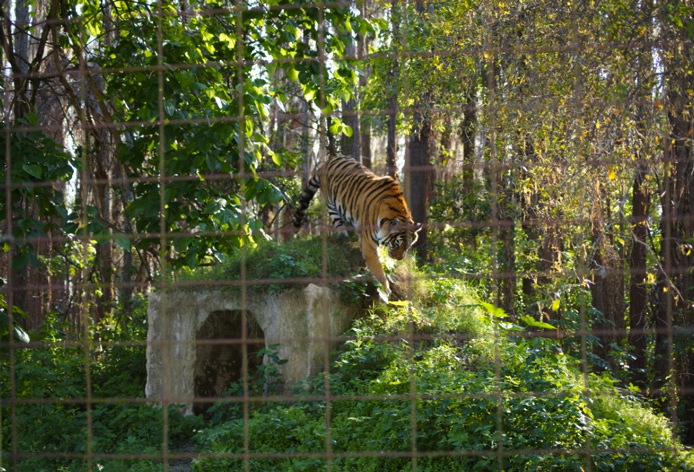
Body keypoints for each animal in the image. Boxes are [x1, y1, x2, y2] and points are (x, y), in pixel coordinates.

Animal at [294, 156, 424, 296]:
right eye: (397, 243)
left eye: (408, 245)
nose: (399, 258)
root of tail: (327, 163)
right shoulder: (369, 245)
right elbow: (378, 269)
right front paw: (386, 289)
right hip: (332, 205)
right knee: (338, 223)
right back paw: (343, 236)